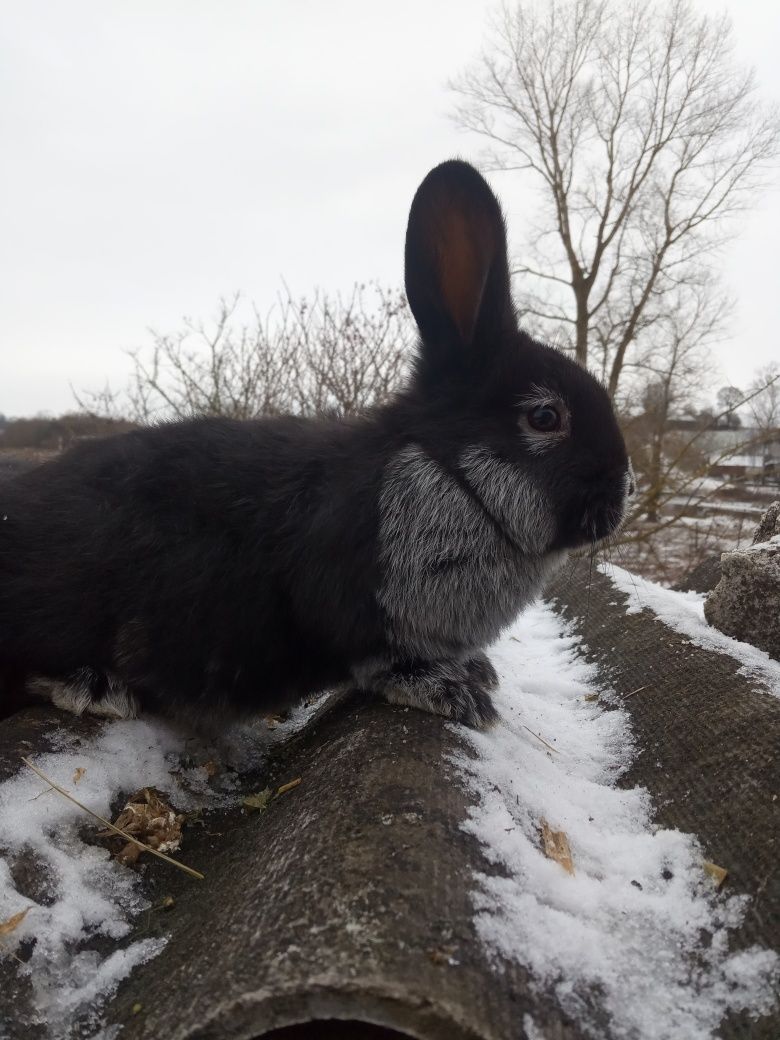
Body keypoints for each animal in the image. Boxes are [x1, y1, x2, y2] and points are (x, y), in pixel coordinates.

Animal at [0, 162, 636, 732]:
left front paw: (473, 671)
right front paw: (447, 690)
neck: (450, 476)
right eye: (545, 417)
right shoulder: (352, 609)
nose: (623, 494)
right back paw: (93, 686)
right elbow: (376, 663)